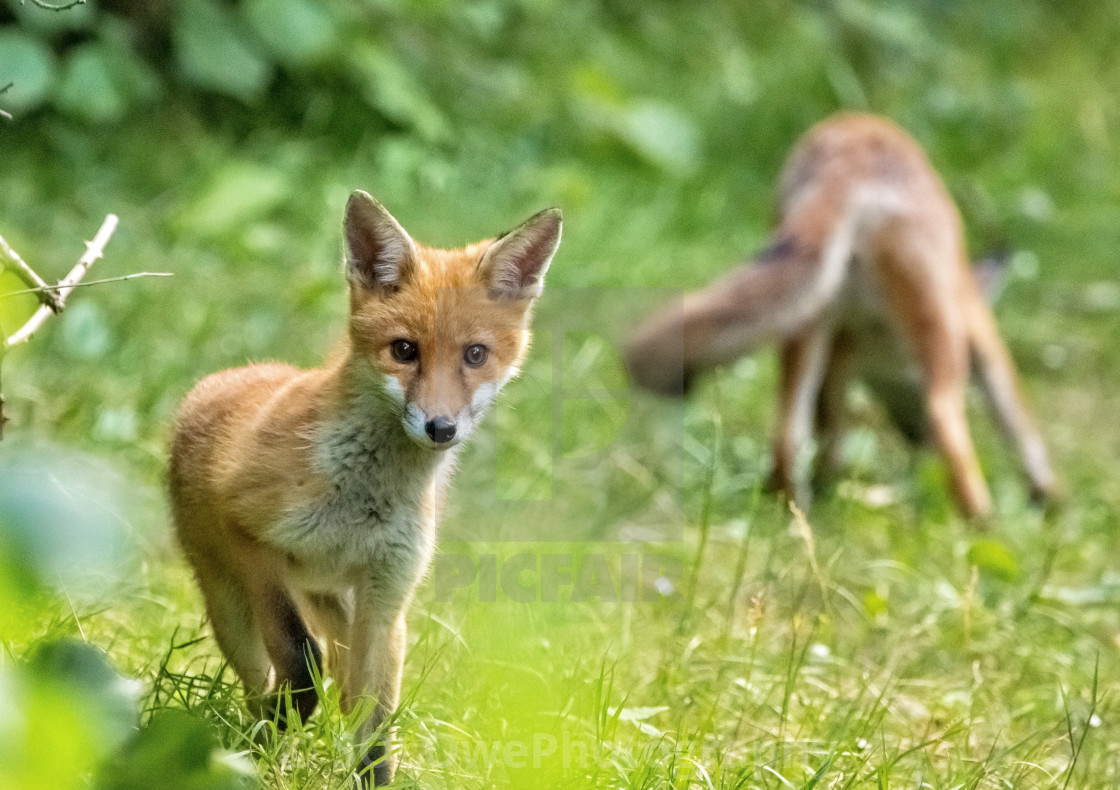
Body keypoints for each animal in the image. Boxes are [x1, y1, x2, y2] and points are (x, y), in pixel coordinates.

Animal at [168, 192, 560, 784]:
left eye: (475, 354)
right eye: (404, 350)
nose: (440, 428)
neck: (363, 502)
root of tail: (216, 381)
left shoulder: (387, 593)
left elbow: (376, 724)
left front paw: (366, 777)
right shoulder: (252, 540)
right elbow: (299, 659)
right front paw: (271, 741)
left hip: (344, 604)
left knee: (348, 684)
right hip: (230, 602)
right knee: (262, 677)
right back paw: (252, 737)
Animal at [627, 112, 1052, 517]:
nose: (915, 439)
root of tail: (853, 153)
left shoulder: (842, 348)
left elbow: (829, 431)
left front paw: (827, 484)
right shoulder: (974, 331)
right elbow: (1020, 424)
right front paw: (1047, 496)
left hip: (806, 320)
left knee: (789, 433)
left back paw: (793, 507)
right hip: (933, 331)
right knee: (944, 415)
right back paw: (980, 520)